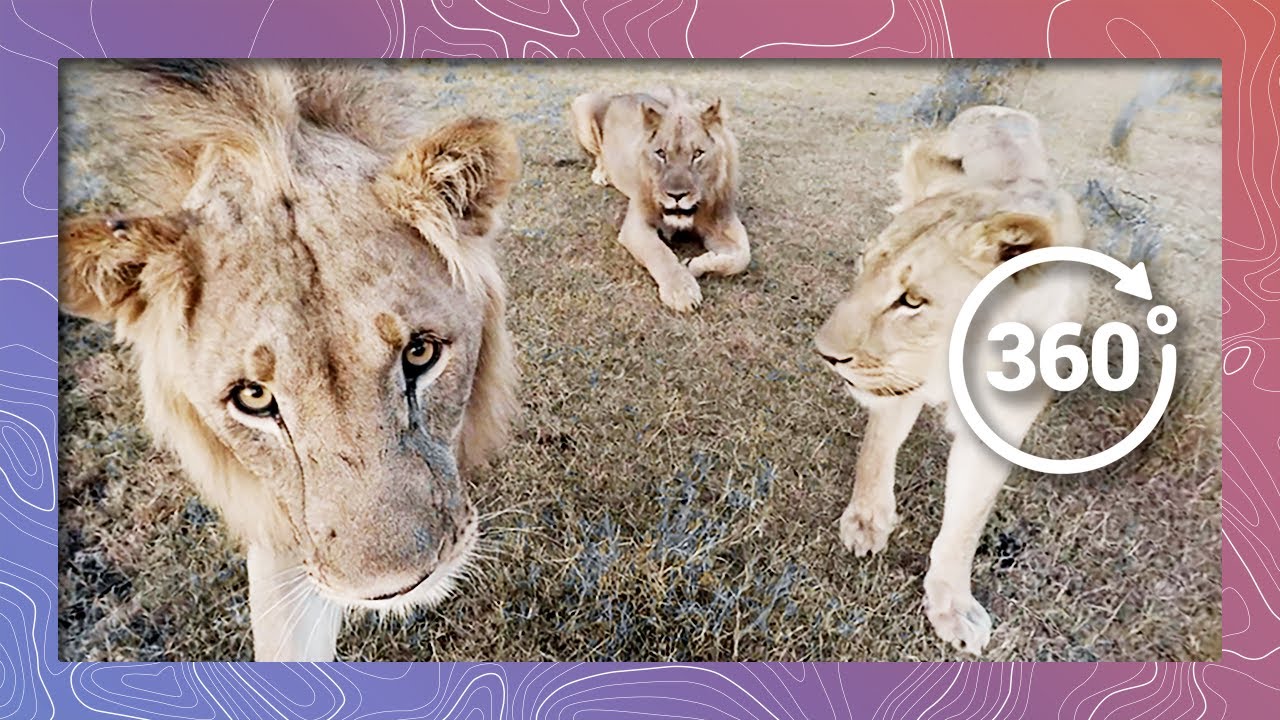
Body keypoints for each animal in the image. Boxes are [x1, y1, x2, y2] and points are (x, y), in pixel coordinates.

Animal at [569, 87, 750, 312]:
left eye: (697, 154)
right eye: (661, 153)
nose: (677, 195)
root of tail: (622, 94)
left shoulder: (721, 220)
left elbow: (743, 256)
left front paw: (695, 264)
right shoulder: (636, 225)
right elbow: (660, 252)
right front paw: (681, 291)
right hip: (583, 104)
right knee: (599, 155)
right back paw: (601, 174)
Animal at [814, 106, 1090, 655]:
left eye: (912, 301)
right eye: (864, 265)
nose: (825, 354)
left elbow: (965, 524)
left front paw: (952, 605)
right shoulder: (898, 383)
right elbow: (876, 452)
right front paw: (866, 522)